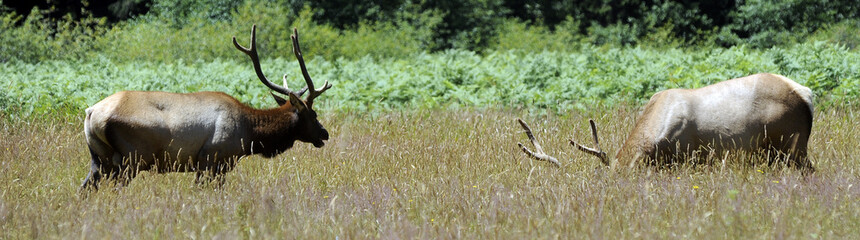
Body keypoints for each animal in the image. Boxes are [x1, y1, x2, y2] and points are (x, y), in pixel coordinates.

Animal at [80, 23, 330, 189]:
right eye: (313, 114)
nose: (325, 133)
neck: (249, 133)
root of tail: (91, 112)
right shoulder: (213, 159)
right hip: (131, 157)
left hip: (99, 158)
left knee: (85, 187)